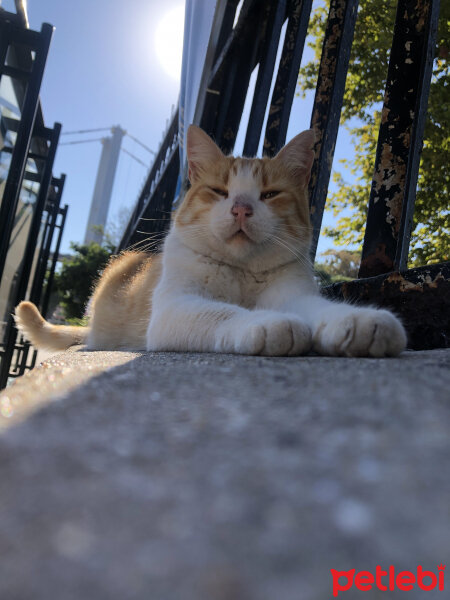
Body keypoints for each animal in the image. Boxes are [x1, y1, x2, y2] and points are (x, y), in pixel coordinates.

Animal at [14, 123, 408, 354]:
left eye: (270, 195)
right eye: (219, 191)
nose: (241, 209)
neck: (241, 273)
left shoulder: (292, 294)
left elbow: (320, 309)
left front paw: (359, 322)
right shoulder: (175, 308)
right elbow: (223, 313)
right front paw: (268, 323)